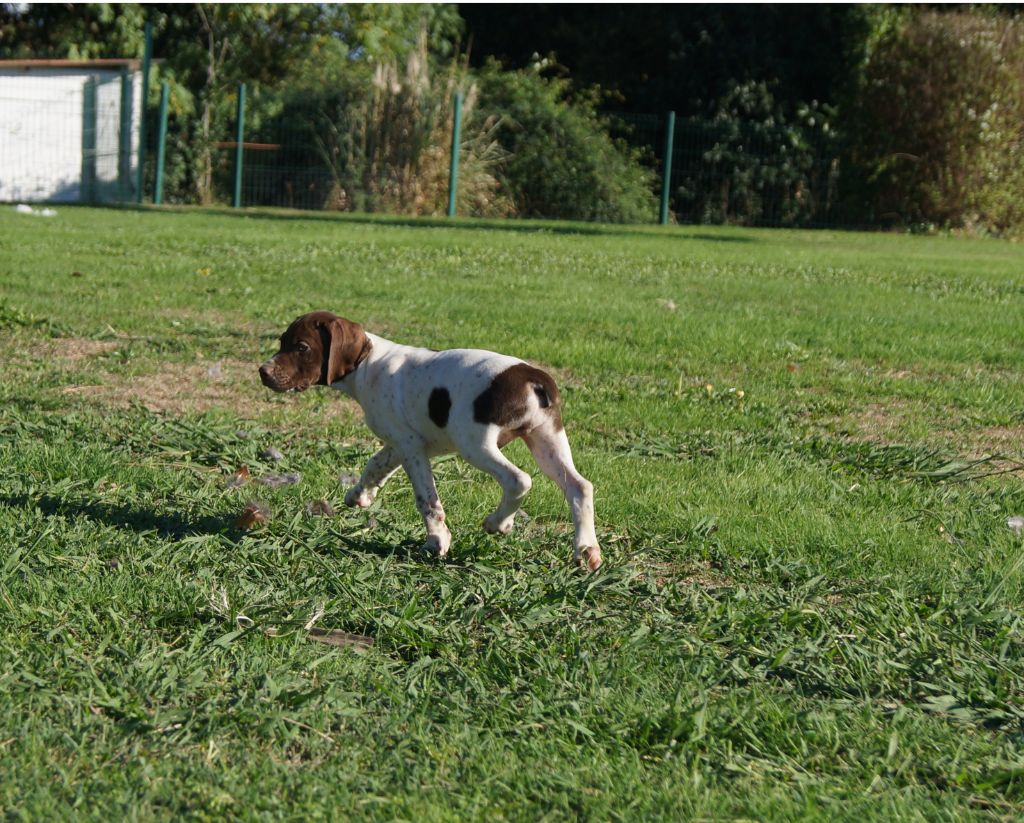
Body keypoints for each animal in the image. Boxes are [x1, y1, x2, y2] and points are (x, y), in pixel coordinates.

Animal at [260, 311, 602, 569]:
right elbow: (375, 465)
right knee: (580, 487)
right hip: (547, 439)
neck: (367, 364)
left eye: (302, 347)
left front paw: (437, 541)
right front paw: (360, 495)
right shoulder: (400, 442)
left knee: (519, 480)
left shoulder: (412, 448)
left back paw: (498, 523)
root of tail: (535, 378)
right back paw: (587, 550)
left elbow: (427, 500)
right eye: (282, 342)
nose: (263, 371)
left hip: (474, 443)